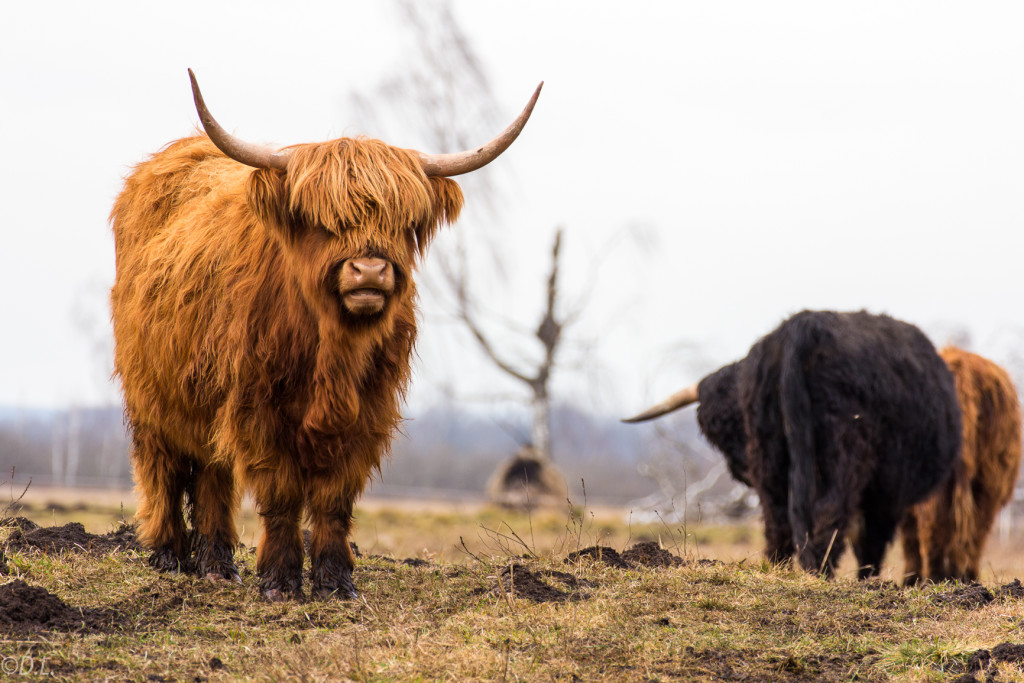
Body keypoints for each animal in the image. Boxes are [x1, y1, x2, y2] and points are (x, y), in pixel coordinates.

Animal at [110, 70, 540, 600]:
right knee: (162, 467)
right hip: (151, 393)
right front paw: (280, 581)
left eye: (401, 222)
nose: (370, 270)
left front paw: (337, 582)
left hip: (206, 397)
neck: (333, 349)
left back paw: (217, 565)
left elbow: (335, 499)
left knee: (212, 473)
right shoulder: (257, 408)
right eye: (324, 222)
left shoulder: (368, 412)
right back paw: (167, 556)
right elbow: (281, 494)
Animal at [625, 310, 961, 578]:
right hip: (842, 455)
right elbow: (870, 542)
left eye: (733, 426)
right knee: (828, 515)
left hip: (772, 462)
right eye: (719, 433)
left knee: (778, 520)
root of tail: (801, 327)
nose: (741, 470)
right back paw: (820, 572)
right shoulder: (887, 492)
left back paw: (780, 568)